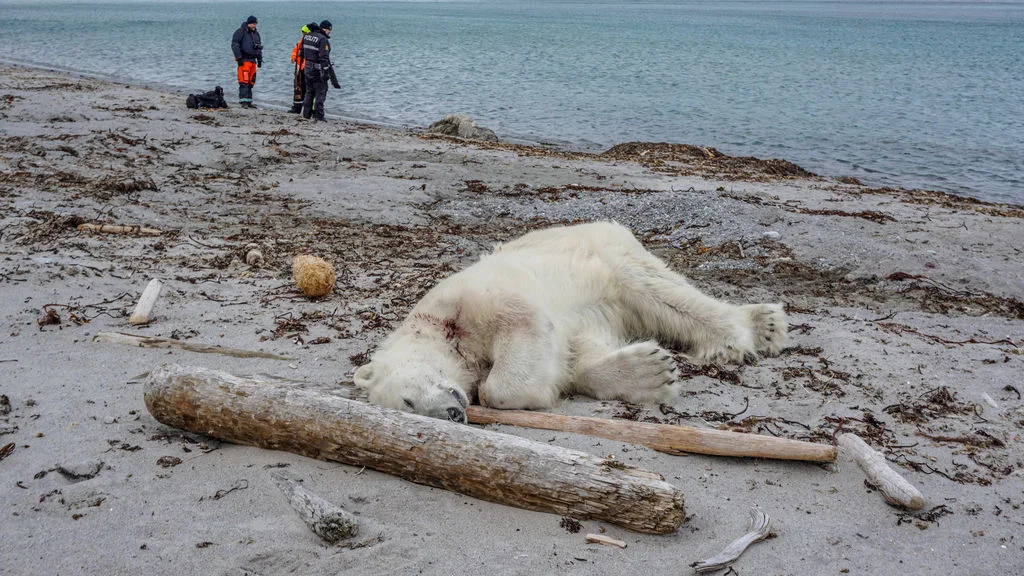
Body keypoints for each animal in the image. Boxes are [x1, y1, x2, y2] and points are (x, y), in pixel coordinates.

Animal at [356, 219, 786, 422]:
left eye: (408, 400)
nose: (453, 414)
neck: (438, 329)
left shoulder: (469, 301)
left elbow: (520, 331)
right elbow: (577, 354)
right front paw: (649, 372)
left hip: (606, 252)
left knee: (659, 291)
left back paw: (749, 332)